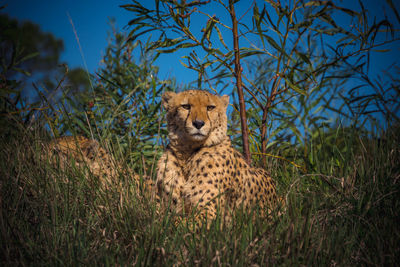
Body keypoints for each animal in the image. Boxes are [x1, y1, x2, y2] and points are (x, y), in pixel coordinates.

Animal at [156, 91, 278, 227]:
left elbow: (178, 223)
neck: (187, 155)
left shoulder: (210, 213)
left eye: (210, 107)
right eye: (186, 106)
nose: (198, 123)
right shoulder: (165, 208)